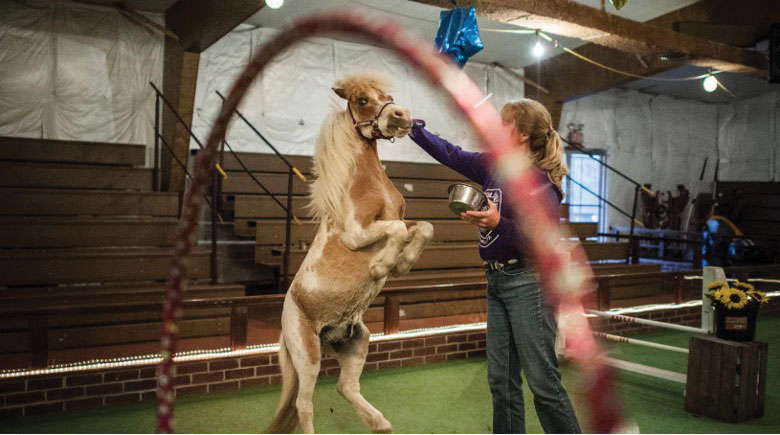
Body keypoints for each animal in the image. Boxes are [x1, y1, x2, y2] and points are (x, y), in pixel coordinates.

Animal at [265, 73, 434, 434]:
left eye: (387, 94)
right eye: (361, 100)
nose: (401, 116)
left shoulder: (401, 220)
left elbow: (423, 227)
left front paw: (402, 264)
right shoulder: (357, 233)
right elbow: (397, 232)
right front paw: (382, 267)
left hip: (358, 342)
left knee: (346, 387)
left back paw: (381, 423)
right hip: (309, 356)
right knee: (304, 404)